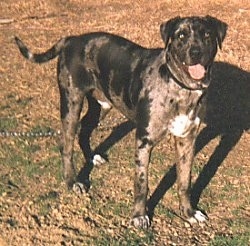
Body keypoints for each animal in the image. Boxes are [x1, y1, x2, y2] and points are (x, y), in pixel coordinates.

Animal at [15, 15, 227, 229]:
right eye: (181, 35)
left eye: (207, 35)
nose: (196, 52)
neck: (180, 87)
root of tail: (71, 39)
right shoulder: (144, 141)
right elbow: (142, 183)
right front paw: (139, 216)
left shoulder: (187, 140)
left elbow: (184, 182)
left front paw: (188, 212)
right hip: (71, 103)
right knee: (66, 145)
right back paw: (72, 181)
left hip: (102, 105)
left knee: (84, 129)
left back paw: (92, 157)